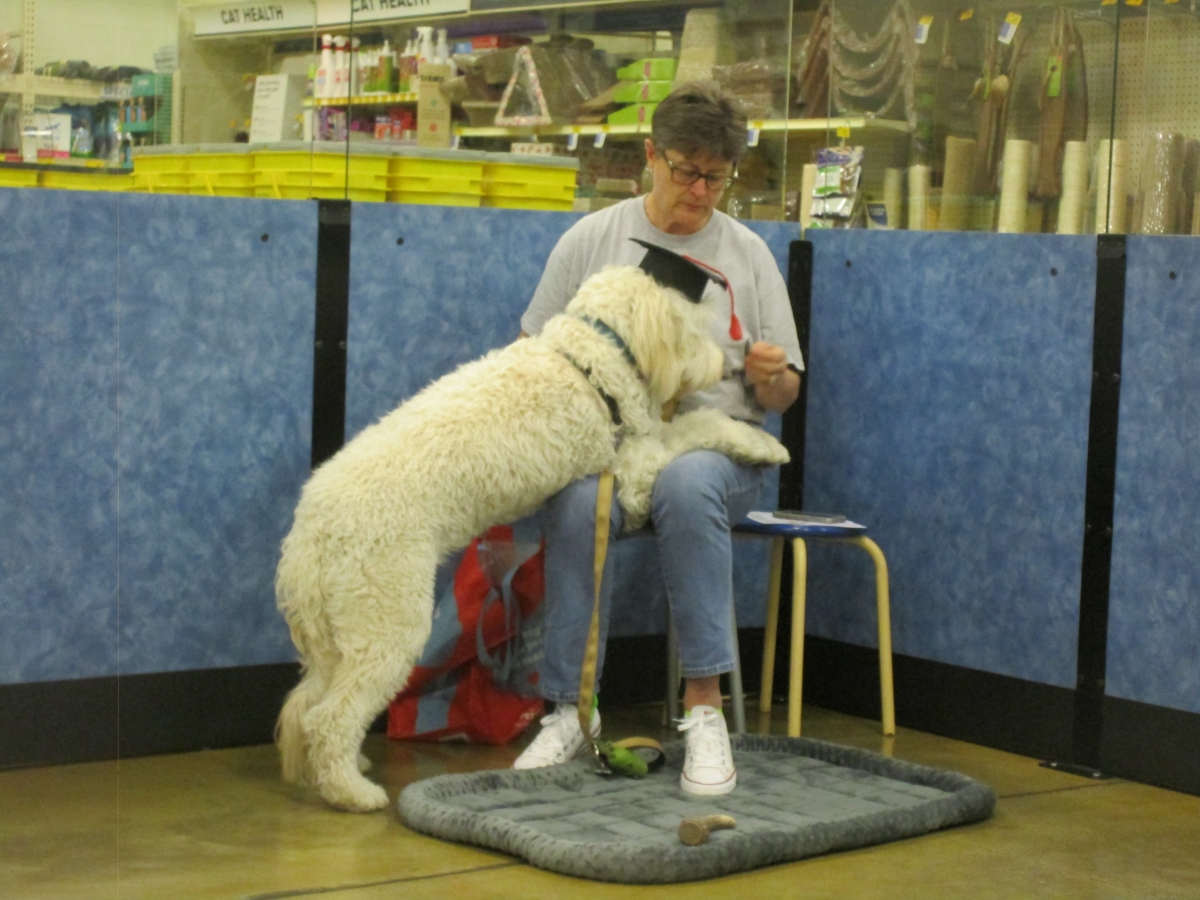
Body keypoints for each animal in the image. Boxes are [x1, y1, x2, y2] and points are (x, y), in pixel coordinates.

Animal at [274, 264, 725, 811]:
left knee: (308, 705)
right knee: (330, 716)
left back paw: (345, 766)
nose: (725, 362)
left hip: (340, 632)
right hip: (386, 621)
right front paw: (760, 442)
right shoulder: (625, 472)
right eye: (692, 328)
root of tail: (309, 531)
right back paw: (352, 792)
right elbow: (690, 432)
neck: (590, 362)